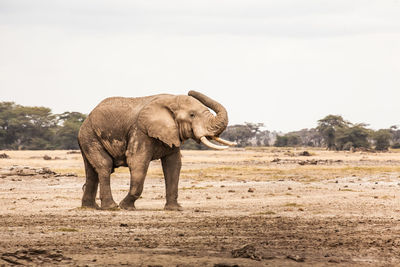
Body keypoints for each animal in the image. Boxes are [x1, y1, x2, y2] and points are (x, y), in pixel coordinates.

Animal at [77, 91, 234, 210]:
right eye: (192, 115)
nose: (190, 91)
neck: (171, 100)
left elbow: (173, 165)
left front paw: (175, 209)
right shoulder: (140, 131)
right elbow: (138, 162)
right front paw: (126, 207)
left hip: (88, 137)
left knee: (92, 171)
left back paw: (90, 207)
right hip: (89, 135)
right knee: (105, 165)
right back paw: (111, 207)